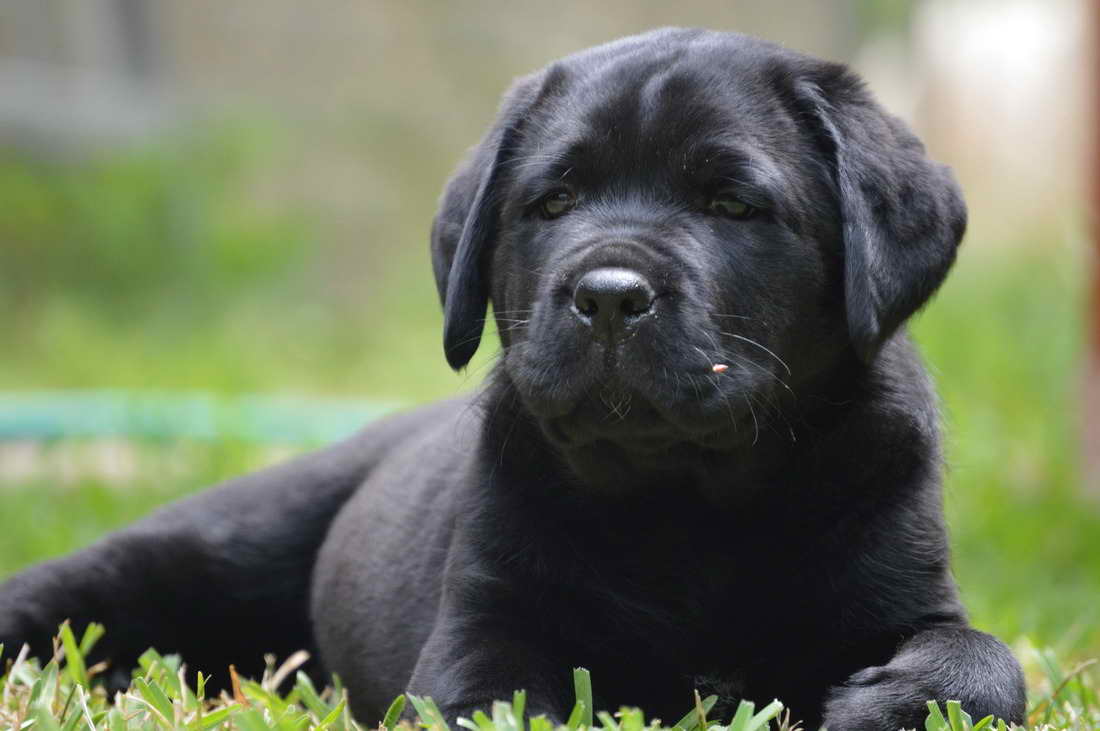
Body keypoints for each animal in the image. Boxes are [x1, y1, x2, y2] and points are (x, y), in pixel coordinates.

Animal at [4, 29, 1025, 729]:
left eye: (733, 204)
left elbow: (987, 664)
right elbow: (500, 704)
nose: (607, 295)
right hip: (206, 544)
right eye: (553, 202)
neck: (688, 499)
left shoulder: (905, 590)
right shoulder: (485, 628)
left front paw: (892, 702)